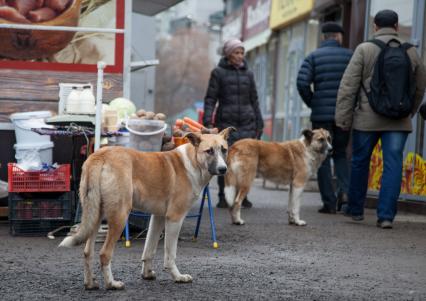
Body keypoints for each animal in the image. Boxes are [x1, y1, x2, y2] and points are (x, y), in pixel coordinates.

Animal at [57, 126, 233, 288]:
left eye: (224, 150)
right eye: (209, 151)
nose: (223, 169)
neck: (193, 162)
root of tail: (101, 155)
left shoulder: (158, 217)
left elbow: (149, 250)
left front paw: (147, 274)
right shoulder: (174, 218)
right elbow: (170, 255)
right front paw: (178, 277)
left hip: (96, 214)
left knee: (87, 252)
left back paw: (90, 284)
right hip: (120, 215)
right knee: (104, 253)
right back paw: (112, 284)